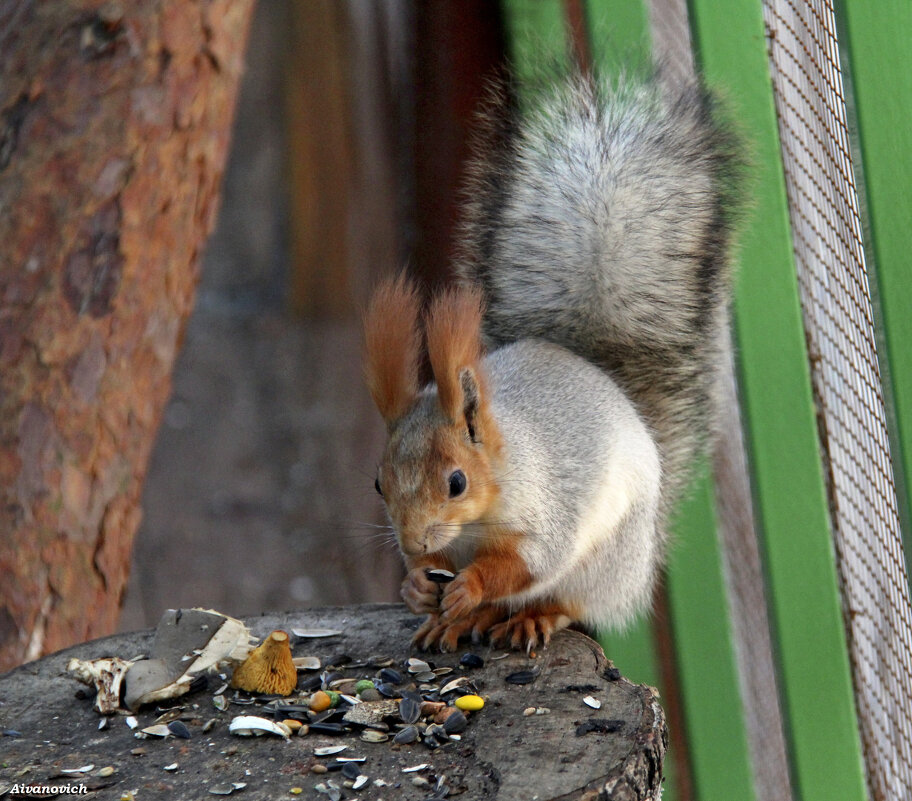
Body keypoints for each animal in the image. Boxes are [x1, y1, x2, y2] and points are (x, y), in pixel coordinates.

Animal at [362, 72, 740, 652]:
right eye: (379, 483)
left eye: (457, 482)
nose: (415, 543)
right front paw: (416, 586)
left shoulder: (547, 507)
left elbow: (530, 561)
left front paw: (470, 585)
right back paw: (460, 619)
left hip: (603, 564)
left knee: (562, 600)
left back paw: (523, 616)